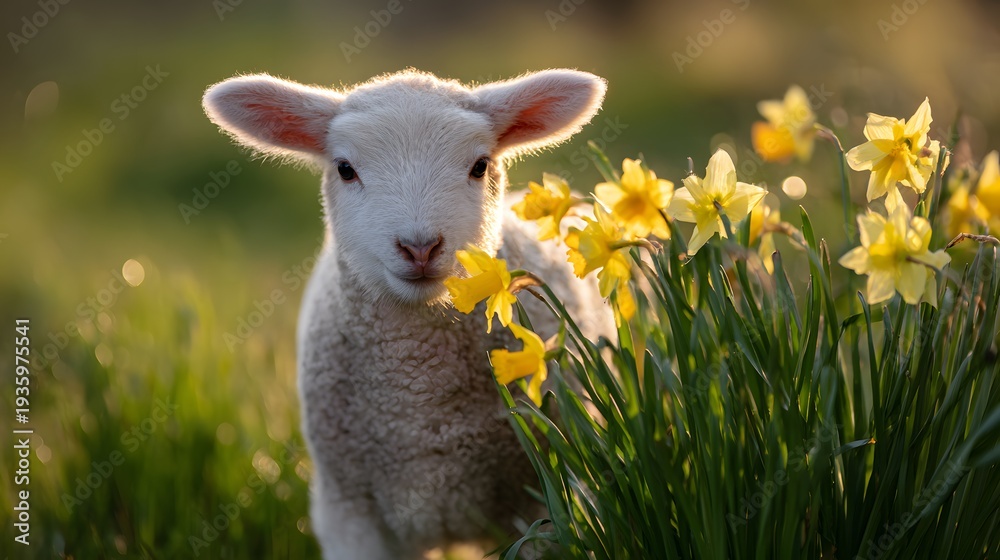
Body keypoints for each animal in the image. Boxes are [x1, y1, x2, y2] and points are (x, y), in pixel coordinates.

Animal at [202, 68, 613, 559]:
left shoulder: (543, 499)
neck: (419, 391)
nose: (419, 247)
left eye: (480, 165)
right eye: (345, 169)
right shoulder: (348, 511)